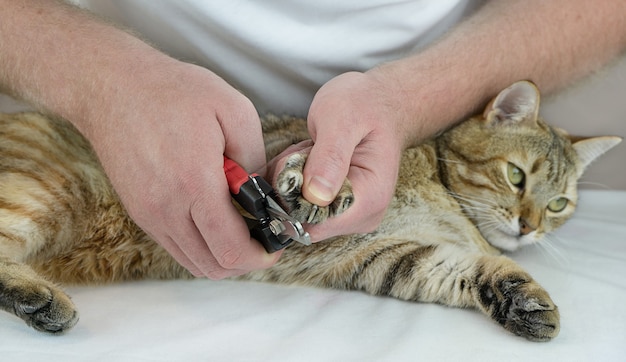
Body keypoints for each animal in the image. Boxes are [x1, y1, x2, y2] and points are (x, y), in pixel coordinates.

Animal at [0, 80, 616, 340]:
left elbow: (461, 271)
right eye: (516, 176)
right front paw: (312, 192)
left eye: (559, 204)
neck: (449, 205)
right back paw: (38, 298)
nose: (529, 228)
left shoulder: (385, 256)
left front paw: (521, 299)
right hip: (46, 188)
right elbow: (307, 172)